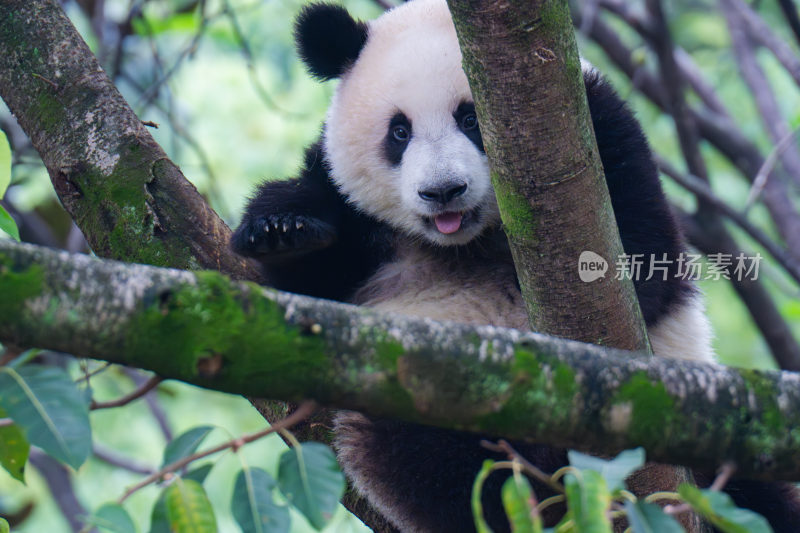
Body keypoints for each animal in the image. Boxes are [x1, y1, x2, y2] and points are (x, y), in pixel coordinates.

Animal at [234, 2, 800, 528]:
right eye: (399, 132)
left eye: (470, 118)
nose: (444, 191)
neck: (464, 242)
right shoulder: (350, 213)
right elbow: (307, 298)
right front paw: (284, 232)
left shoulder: (603, 133)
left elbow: (643, 266)